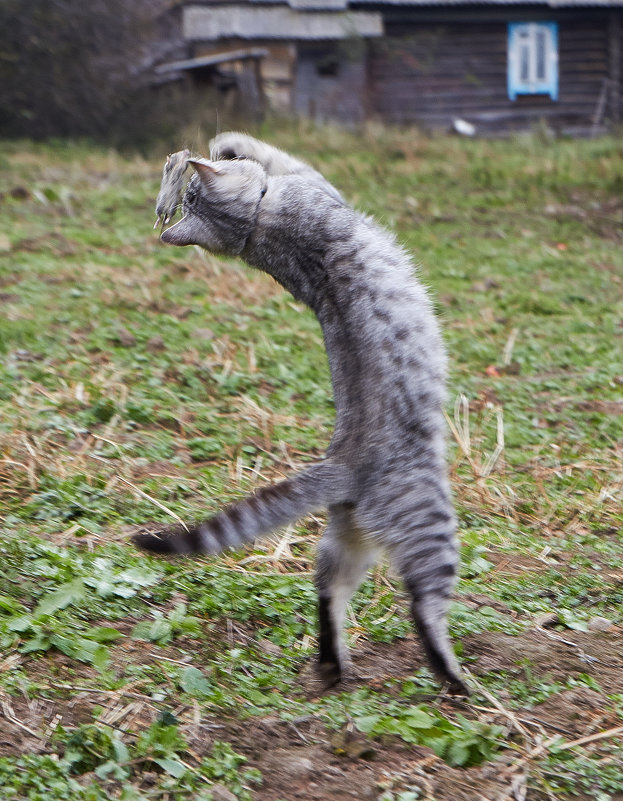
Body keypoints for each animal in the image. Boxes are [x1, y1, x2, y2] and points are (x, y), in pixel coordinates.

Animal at [136, 131, 468, 692]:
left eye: (189, 200)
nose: (178, 189)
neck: (258, 226)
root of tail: (345, 465)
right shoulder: (317, 183)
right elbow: (277, 155)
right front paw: (230, 142)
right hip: (429, 526)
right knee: (424, 609)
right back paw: (457, 680)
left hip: (347, 540)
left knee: (328, 595)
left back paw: (333, 665)